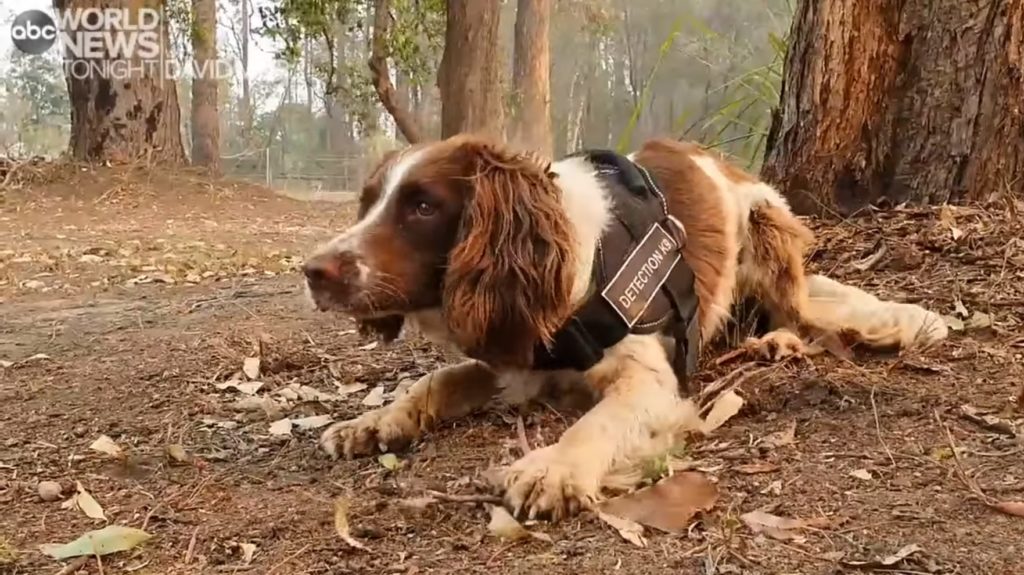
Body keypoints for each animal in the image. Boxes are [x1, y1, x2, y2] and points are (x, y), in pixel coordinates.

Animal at [301, 134, 942, 519]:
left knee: (804, 308)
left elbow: (599, 421)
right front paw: (372, 423)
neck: (565, 264)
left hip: (766, 222)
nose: (312, 271)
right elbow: (433, 381)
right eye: (367, 203)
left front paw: (553, 467)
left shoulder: (651, 378)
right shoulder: (514, 352)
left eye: (423, 206)